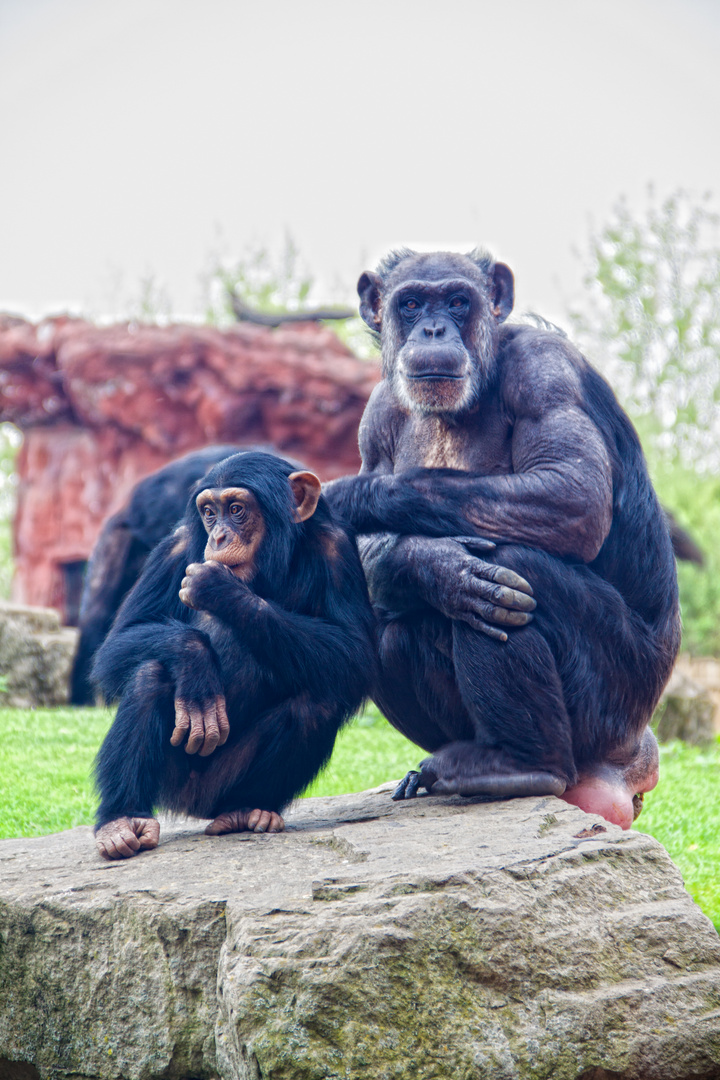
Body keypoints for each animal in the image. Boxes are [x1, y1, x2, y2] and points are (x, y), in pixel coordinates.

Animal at [91, 449, 377, 859]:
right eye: (210, 512)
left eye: (238, 509)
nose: (218, 536)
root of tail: (193, 806)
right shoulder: (172, 547)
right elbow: (117, 643)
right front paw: (196, 662)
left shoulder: (338, 550)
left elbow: (355, 653)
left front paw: (220, 590)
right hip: (174, 781)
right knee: (150, 676)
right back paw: (121, 820)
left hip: (221, 785)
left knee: (317, 701)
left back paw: (246, 809)